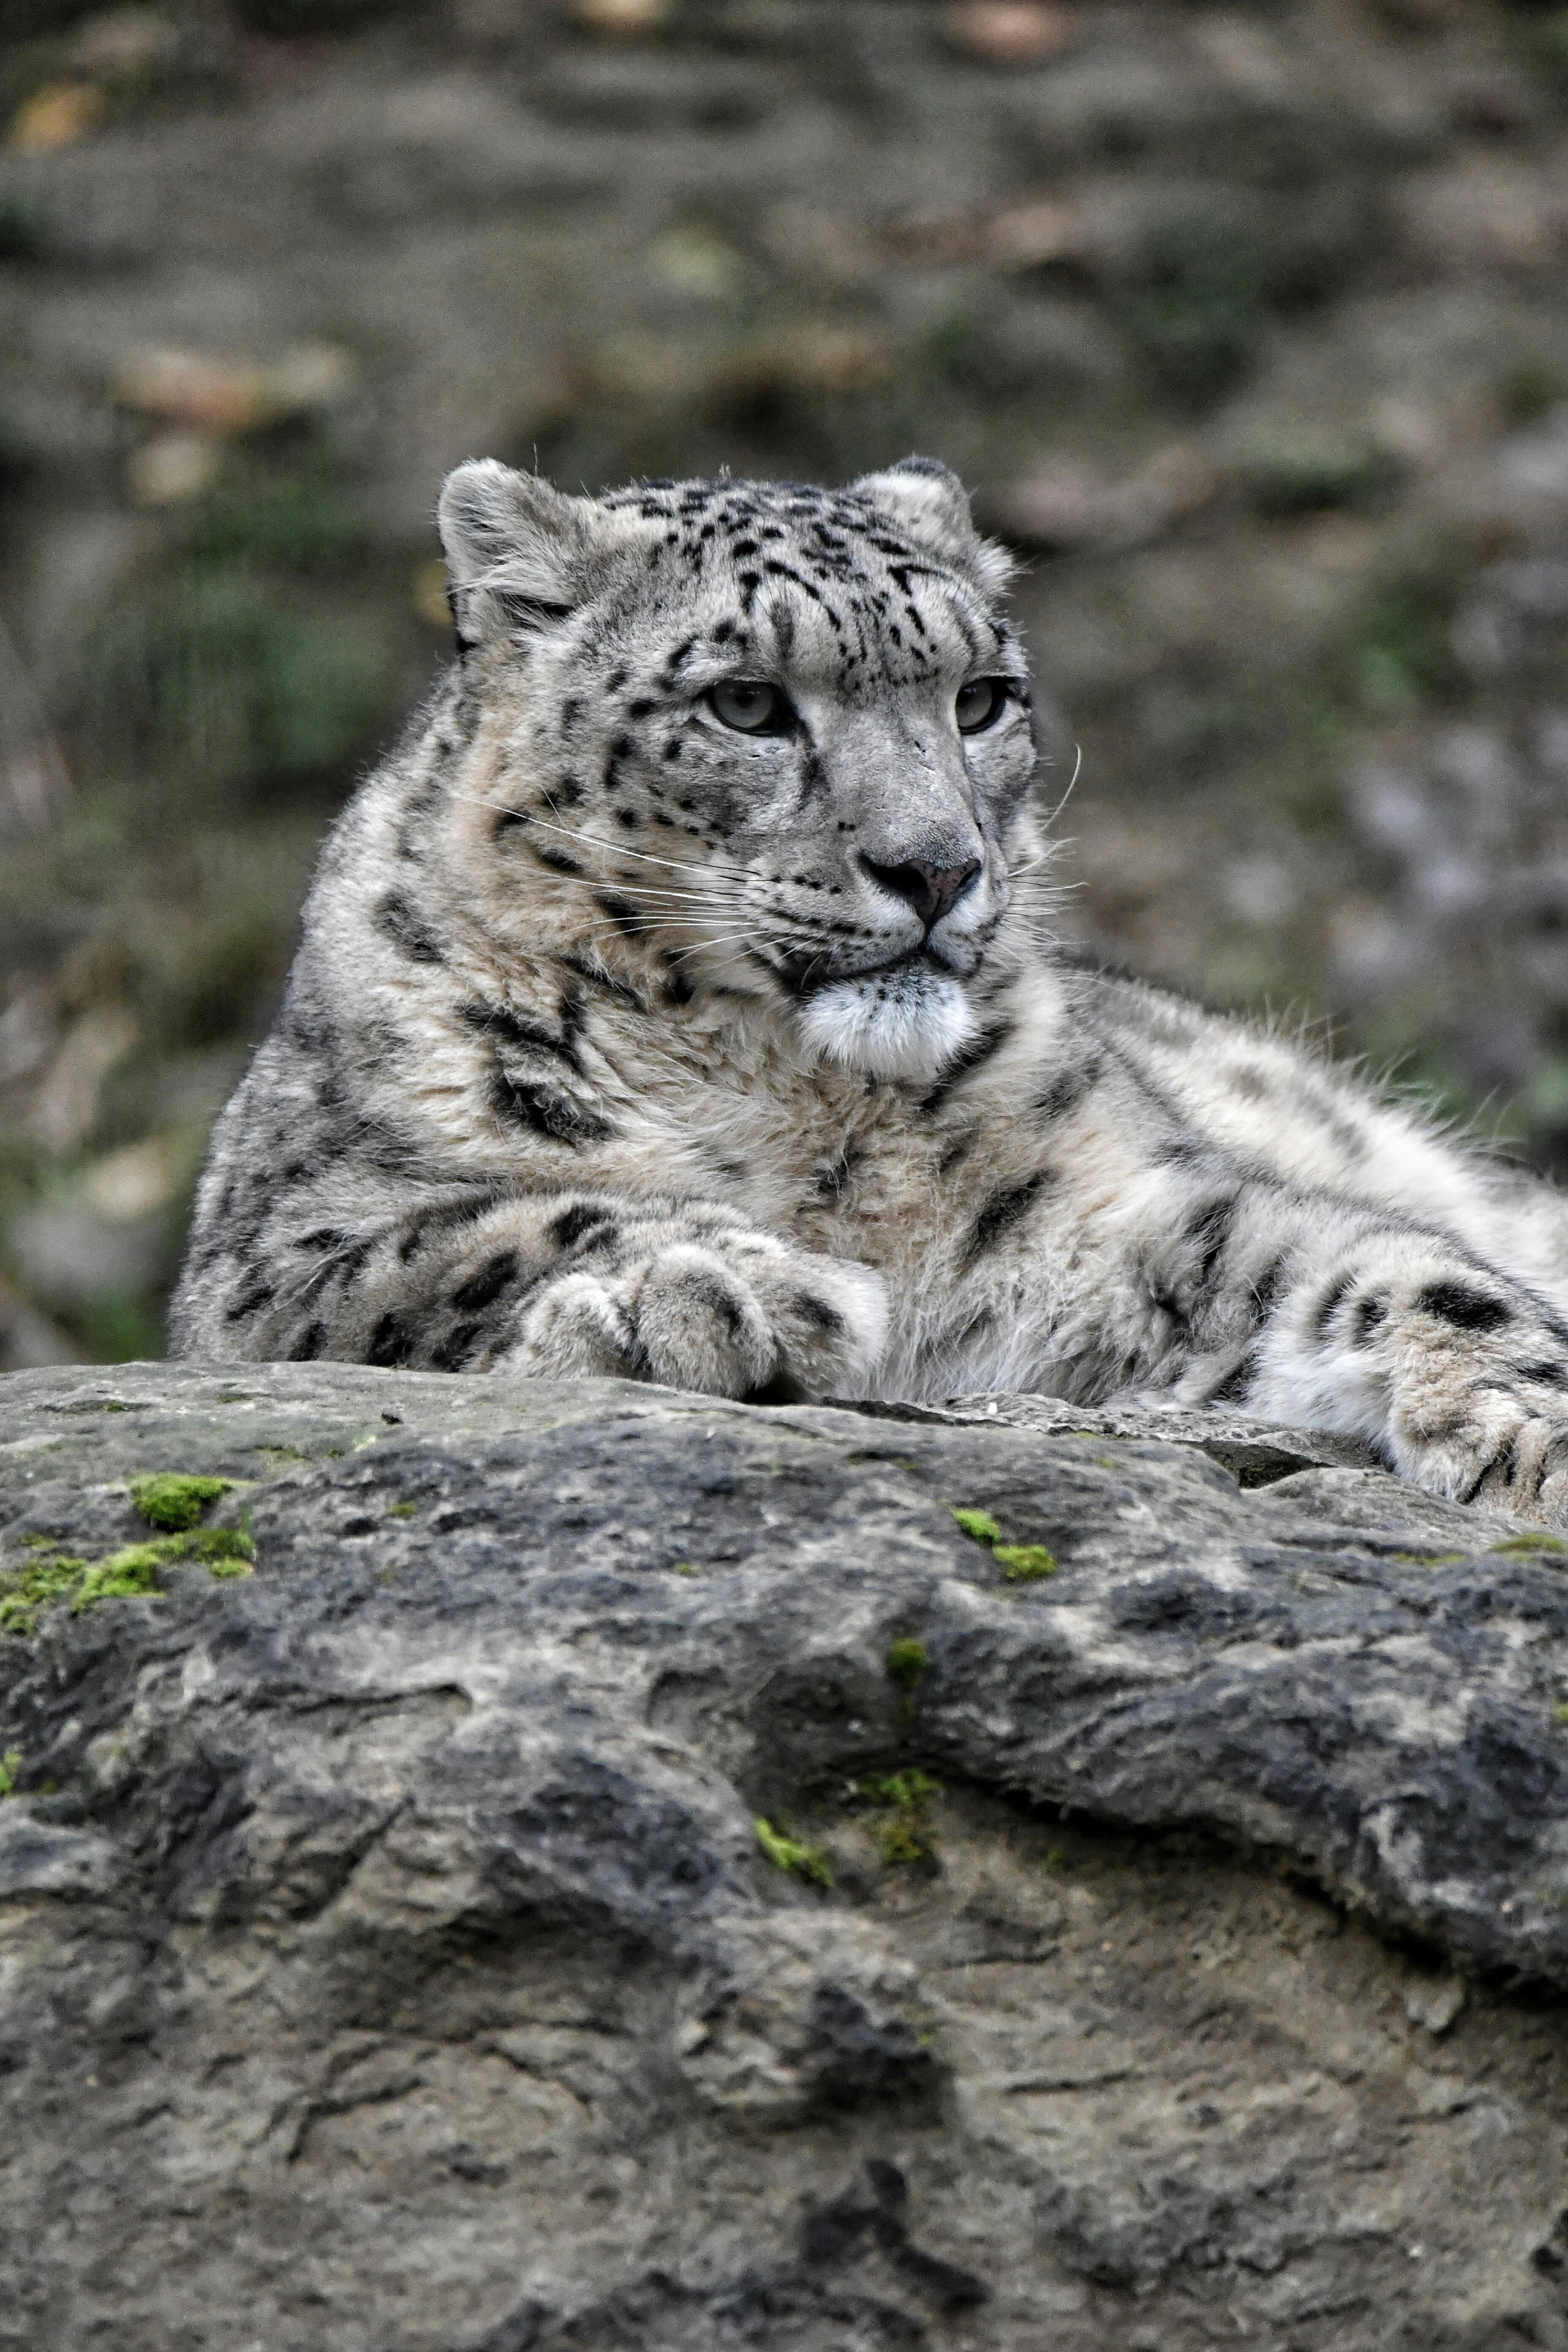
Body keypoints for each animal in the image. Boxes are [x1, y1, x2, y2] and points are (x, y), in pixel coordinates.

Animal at [172, 453, 1568, 1527]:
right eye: (745, 702)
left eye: (981, 698)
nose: (937, 867)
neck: (796, 1102)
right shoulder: (271, 1255)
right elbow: (459, 1238)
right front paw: (712, 1285)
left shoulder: (1141, 1216)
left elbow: (1392, 1264)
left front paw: (1535, 1430)